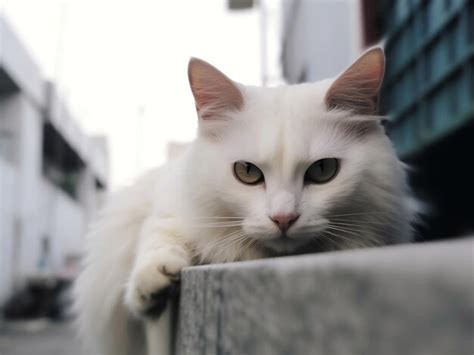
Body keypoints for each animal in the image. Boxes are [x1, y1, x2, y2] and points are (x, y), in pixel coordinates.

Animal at [73, 48, 414, 355]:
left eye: (323, 170)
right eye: (247, 172)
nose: (283, 218)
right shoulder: (171, 206)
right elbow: (159, 238)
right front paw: (154, 282)